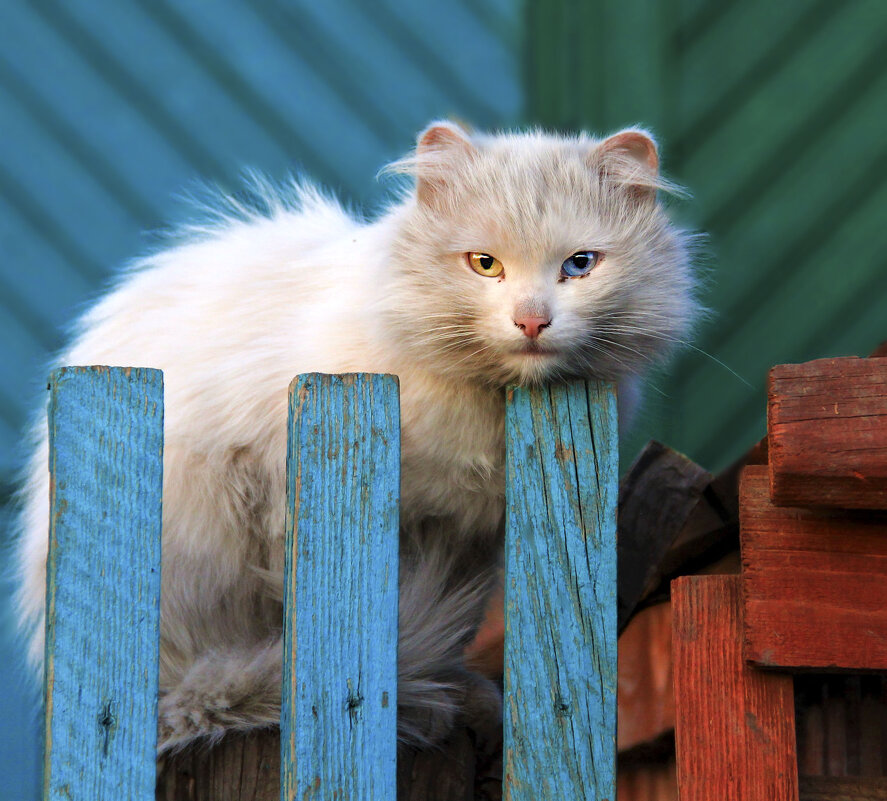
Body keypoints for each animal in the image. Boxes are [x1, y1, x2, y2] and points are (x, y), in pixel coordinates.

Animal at [12, 119, 692, 752]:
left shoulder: (468, 538)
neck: (486, 415)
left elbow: (455, 627)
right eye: (485, 265)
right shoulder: (295, 500)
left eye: (580, 266)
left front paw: (460, 695)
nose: (531, 320)